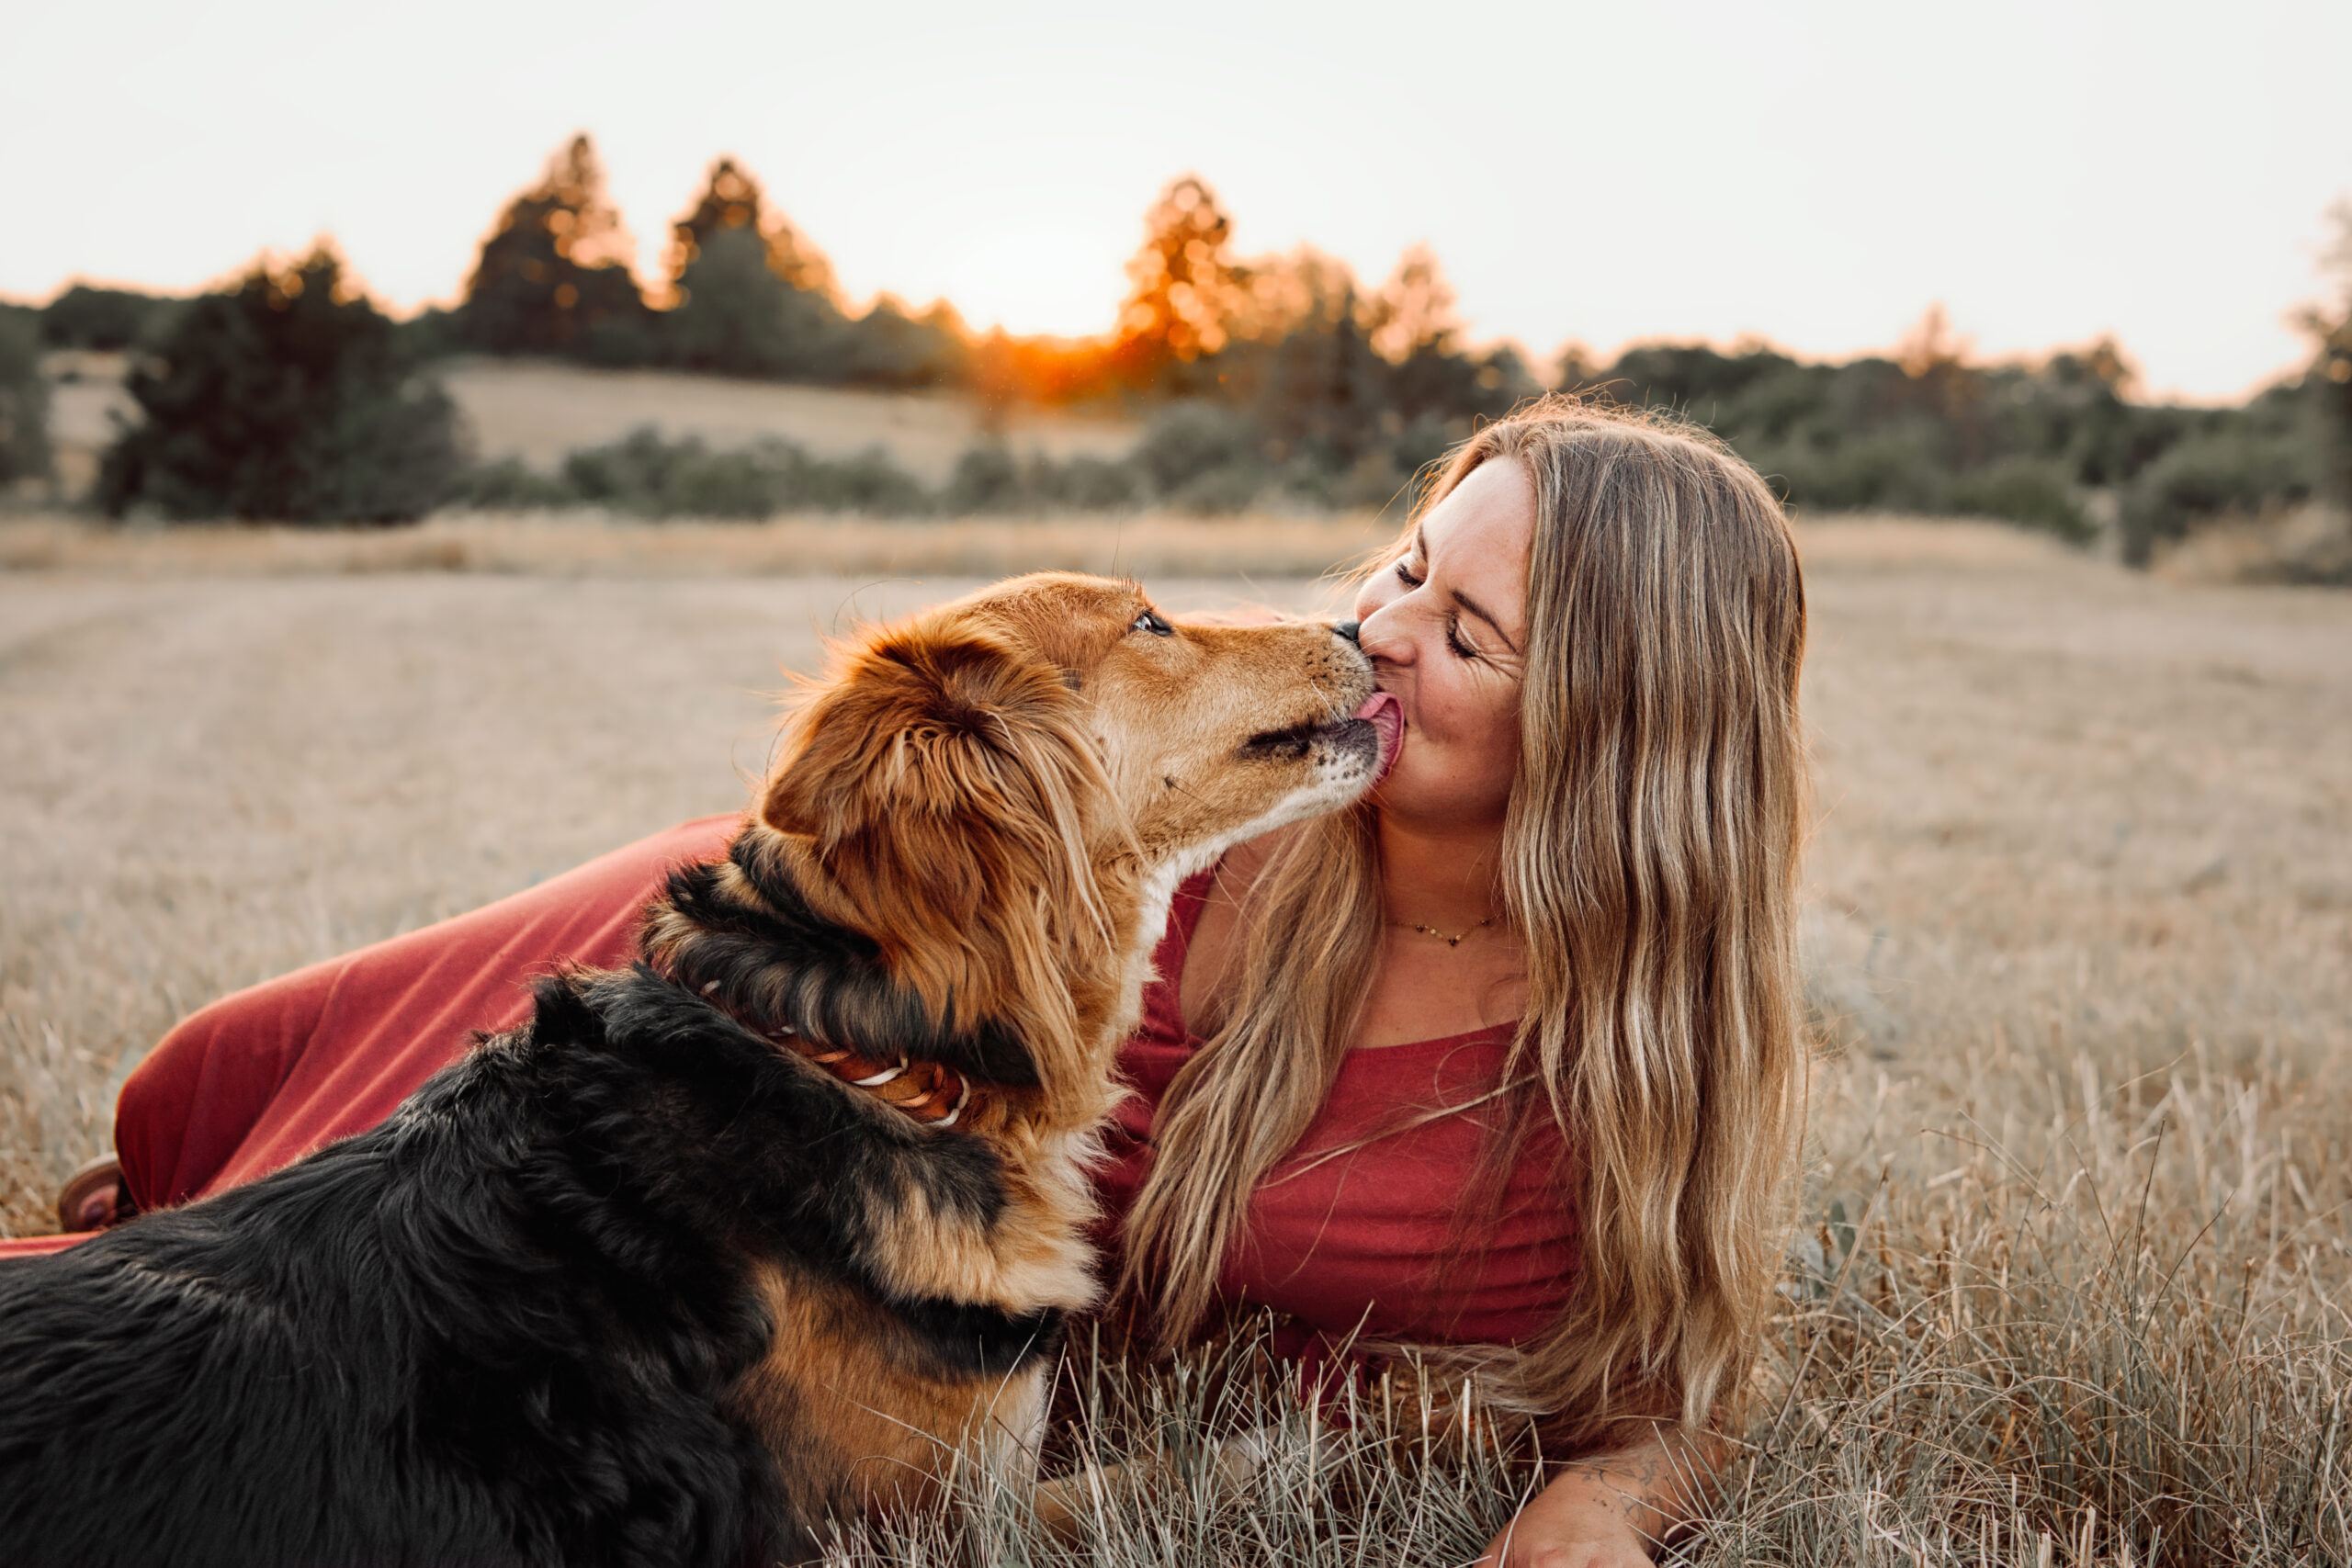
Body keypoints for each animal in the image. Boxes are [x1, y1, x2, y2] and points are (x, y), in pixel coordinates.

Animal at [0, 576, 1392, 1568]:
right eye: (1149, 618)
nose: (1359, 624)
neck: (855, 1052)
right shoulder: (928, 1524)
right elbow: (1172, 1475)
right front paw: (1312, 1444)